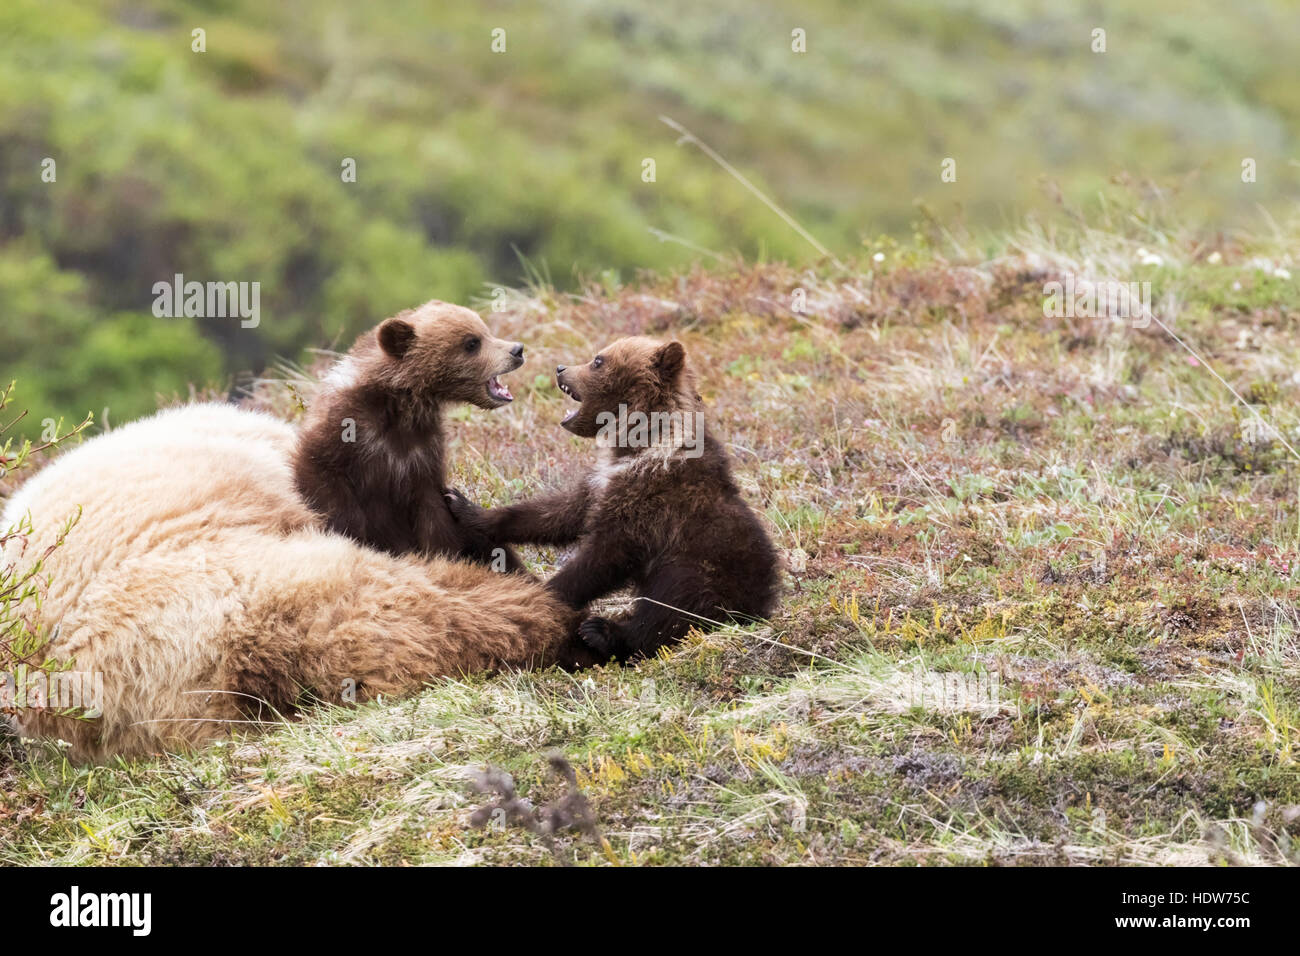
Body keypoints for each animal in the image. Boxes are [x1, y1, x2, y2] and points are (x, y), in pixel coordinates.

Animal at [293, 300, 526, 572]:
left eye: (485, 330)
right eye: (472, 342)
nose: (517, 350)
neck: (401, 407)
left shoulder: (422, 453)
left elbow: (435, 518)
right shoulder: (343, 436)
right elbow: (330, 492)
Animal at [447, 336, 780, 662]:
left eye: (598, 360)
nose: (560, 368)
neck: (638, 444)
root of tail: (760, 609)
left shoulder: (649, 500)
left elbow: (602, 558)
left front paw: (546, 592)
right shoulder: (602, 484)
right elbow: (557, 514)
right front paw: (464, 505)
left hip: (708, 565)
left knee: (673, 605)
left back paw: (604, 632)